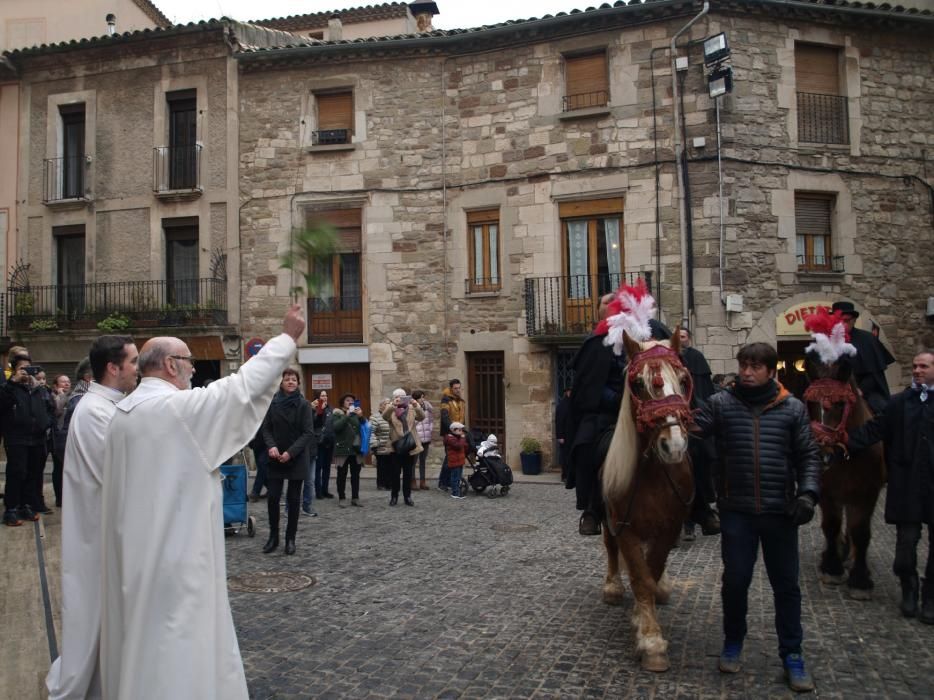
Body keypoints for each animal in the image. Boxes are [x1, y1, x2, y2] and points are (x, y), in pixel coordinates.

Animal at [600, 334, 696, 672]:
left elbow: (652, 571)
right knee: (611, 549)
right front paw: (651, 641)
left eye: (683, 380)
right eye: (638, 384)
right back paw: (613, 588)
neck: (653, 472)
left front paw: (643, 621)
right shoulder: (623, 524)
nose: (674, 445)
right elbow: (640, 578)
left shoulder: (670, 526)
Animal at [804, 358, 884, 600]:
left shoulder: (868, 493)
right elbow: (831, 526)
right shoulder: (827, 493)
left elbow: (861, 531)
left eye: (840, 404)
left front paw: (860, 580)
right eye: (810, 403)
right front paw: (832, 568)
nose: (821, 456)